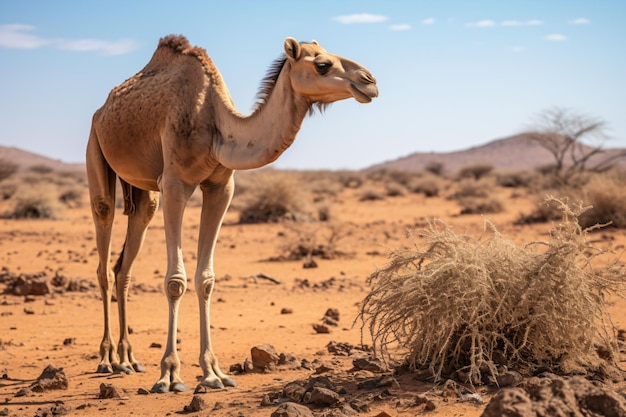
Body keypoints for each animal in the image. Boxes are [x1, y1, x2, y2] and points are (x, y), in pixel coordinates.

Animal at [85, 34, 378, 392]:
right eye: (322, 64)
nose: (369, 81)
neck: (215, 126)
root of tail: (102, 110)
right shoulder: (175, 184)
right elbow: (175, 281)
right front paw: (170, 375)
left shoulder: (221, 186)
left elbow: (206, 279)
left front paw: (214, 373)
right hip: (96, 149)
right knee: (103, 250)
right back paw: (106, 359)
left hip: (144, 192)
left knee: (124, 265)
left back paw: (128, 360)